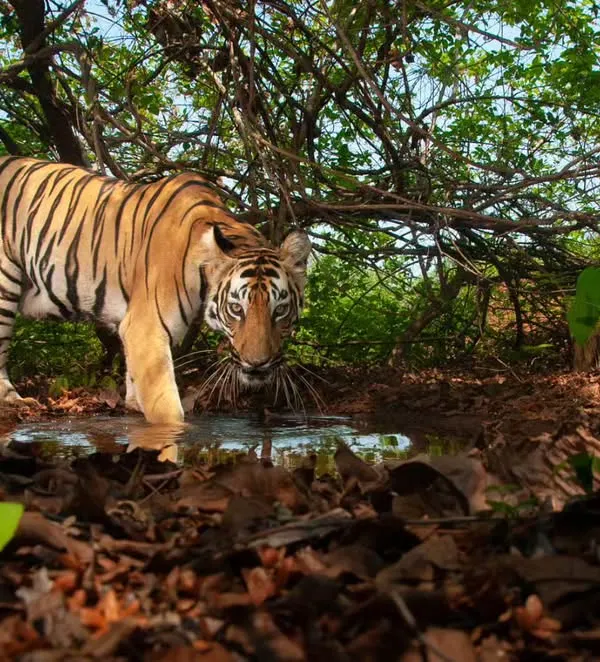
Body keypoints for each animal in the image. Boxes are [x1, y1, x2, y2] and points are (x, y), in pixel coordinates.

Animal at [0, 156, 311, 424]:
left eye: (280, 310)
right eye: (236, 309)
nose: (258, 364)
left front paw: (133, 405)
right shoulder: (146, 330)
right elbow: (167, 410)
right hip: (5, 285)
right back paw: (14, 399)